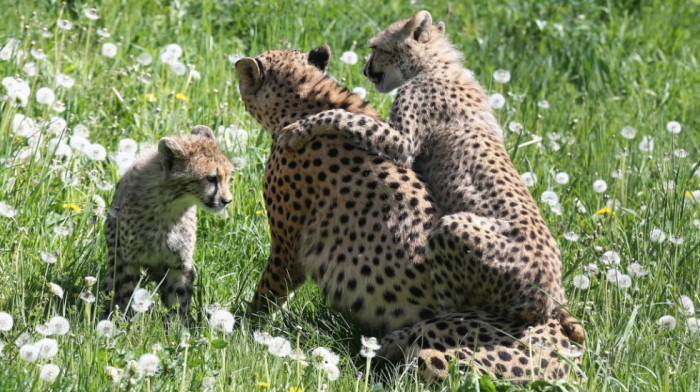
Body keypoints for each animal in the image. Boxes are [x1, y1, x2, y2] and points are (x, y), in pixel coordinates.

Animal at [104, 127, 234, 316]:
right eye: (211, 178)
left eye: (227, 177)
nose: (227, 200)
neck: (168, 207)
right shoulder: (126, 261)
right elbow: (123, 295)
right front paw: (121, 319)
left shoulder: (178, 264)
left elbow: (178, 300)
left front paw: (178, 323)